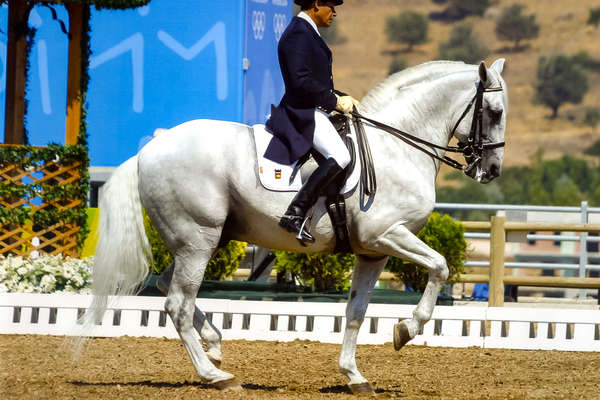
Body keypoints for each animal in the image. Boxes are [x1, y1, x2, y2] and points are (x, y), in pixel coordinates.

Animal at [84, 59, 506, 394]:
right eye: (495, 111)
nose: (491, 171)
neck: (397, 148)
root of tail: (148, 150)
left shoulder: (372, 253)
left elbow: (357, 310)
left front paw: (354, 376)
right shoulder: (387, 235)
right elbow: (440, 266)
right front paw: (406, 330)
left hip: (205, 239)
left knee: (166, 285)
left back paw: (215, 344)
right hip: (197, 240)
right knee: (177, 303)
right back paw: (215, 375)